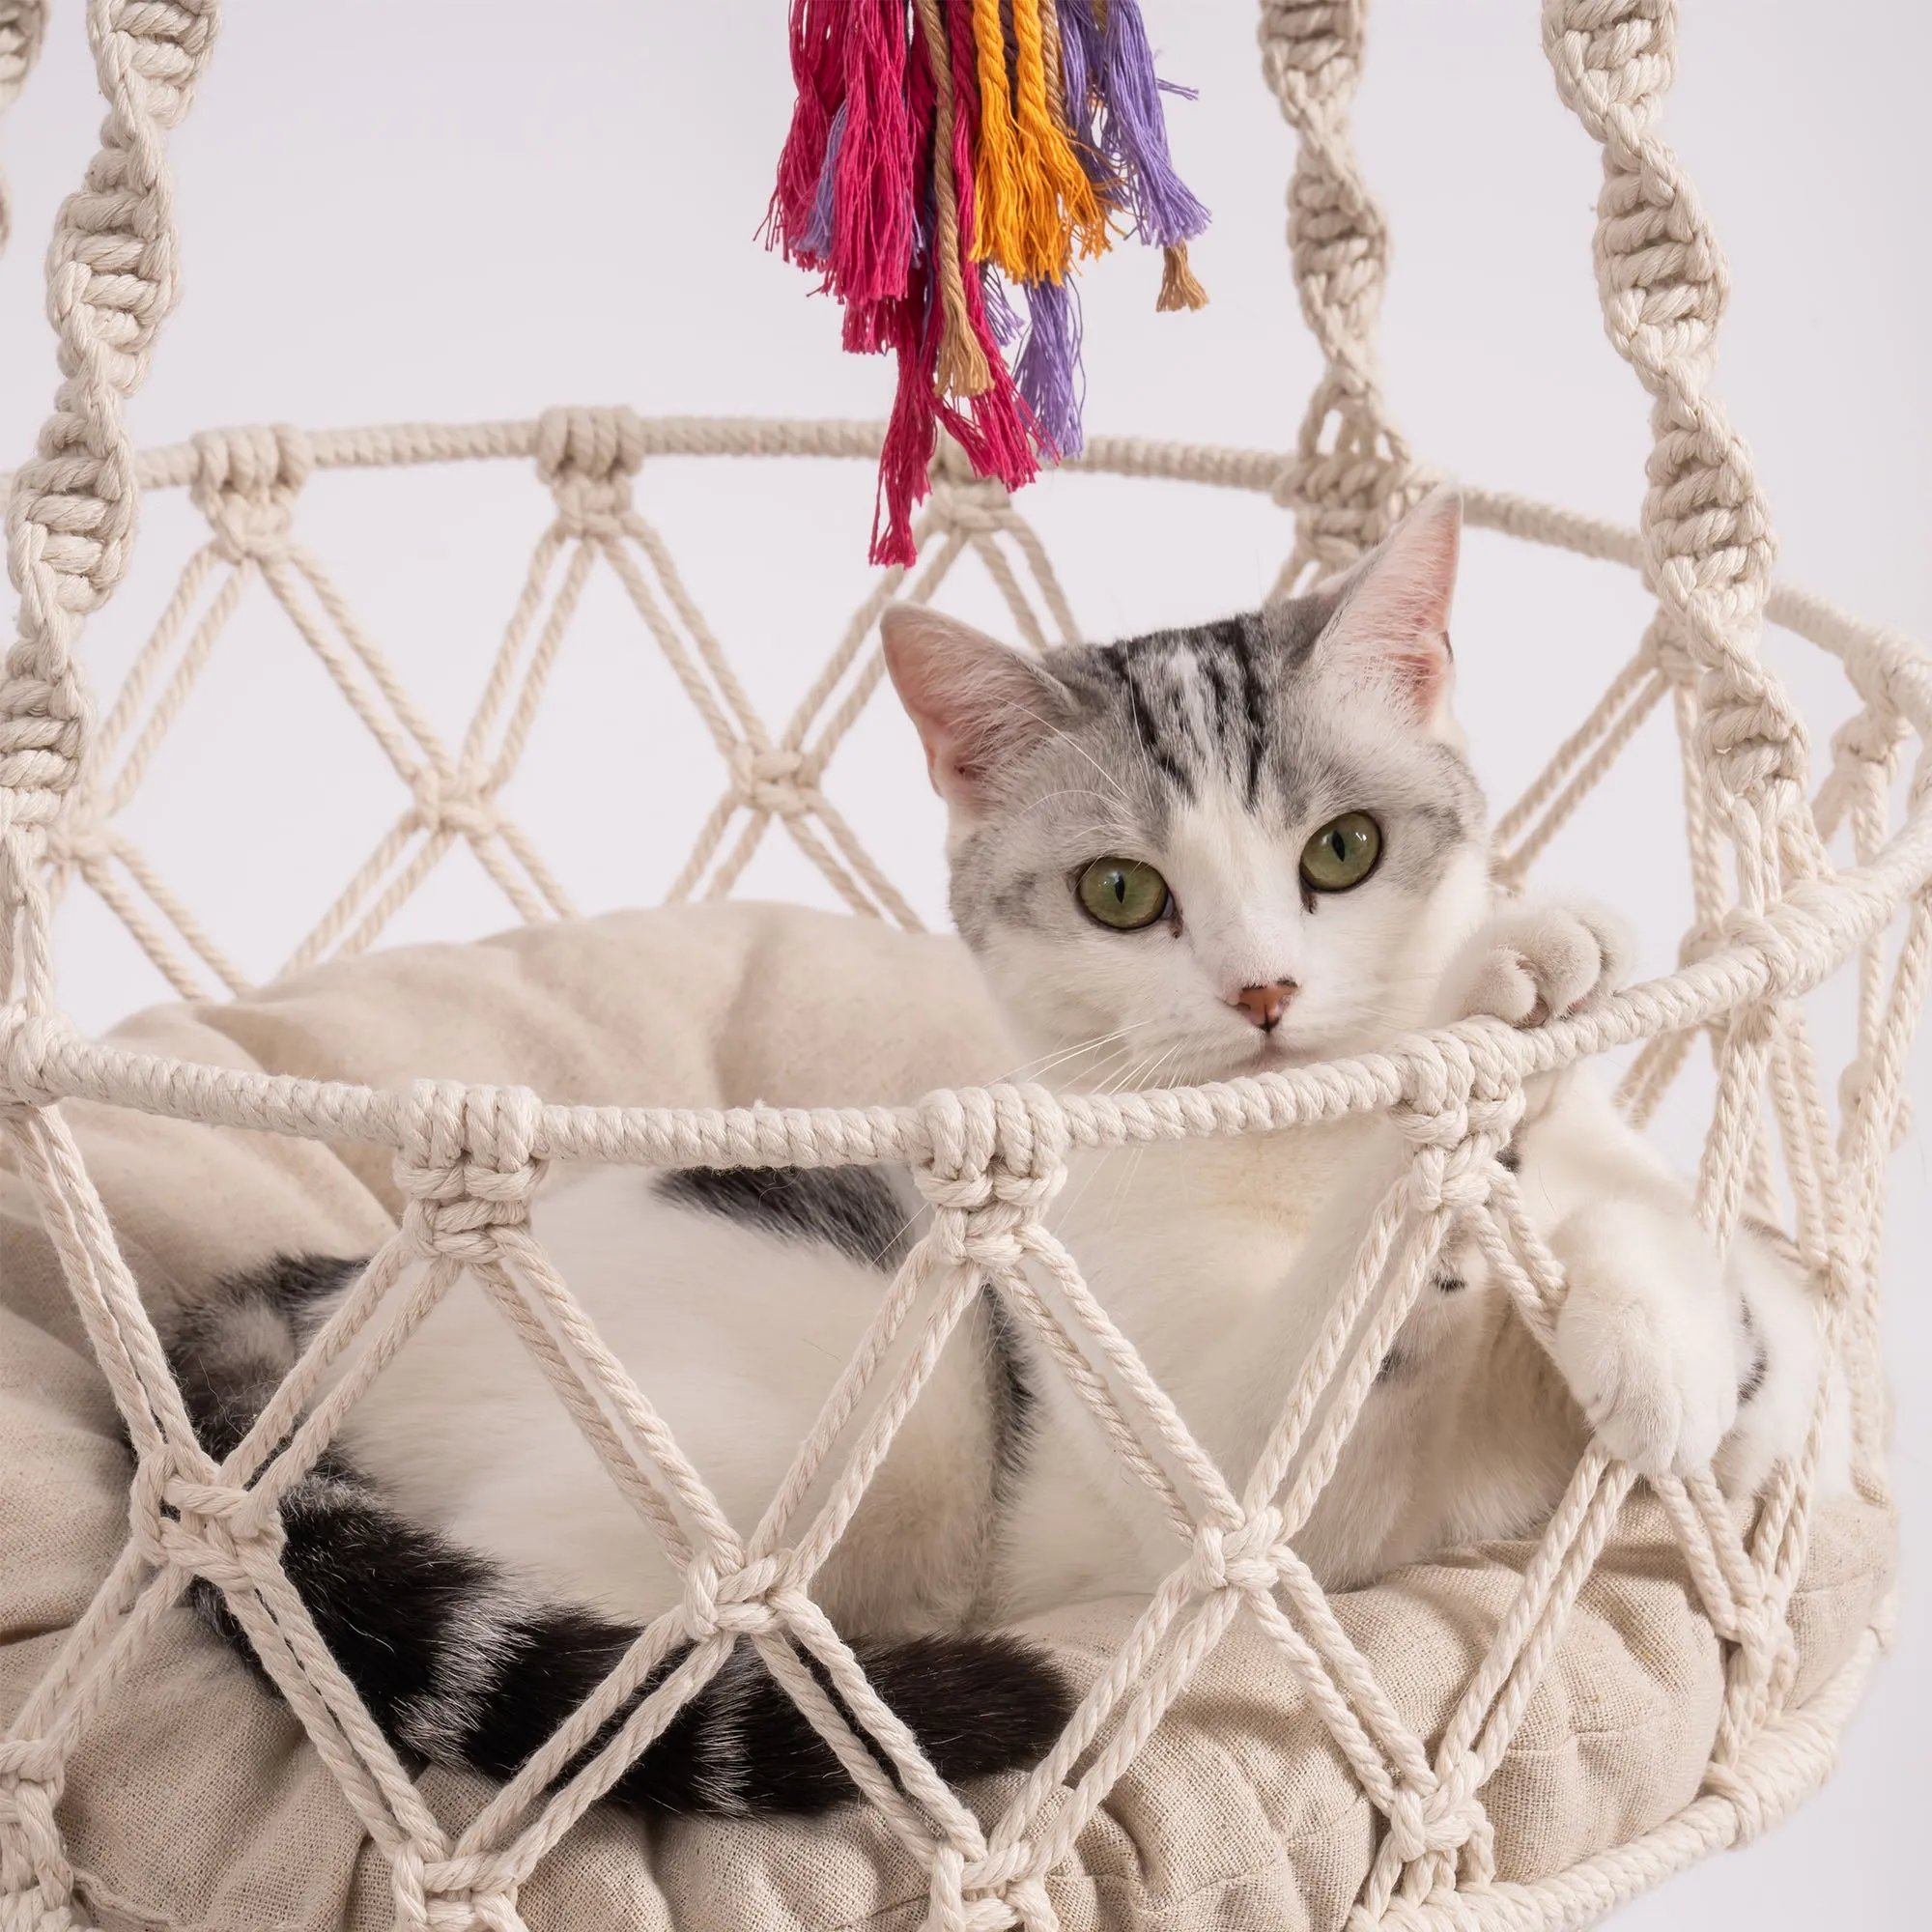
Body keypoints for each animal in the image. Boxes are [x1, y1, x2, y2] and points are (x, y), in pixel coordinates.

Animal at [162, 491, 1839, 1816]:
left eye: (1344, 851)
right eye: (1122, 893)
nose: (1265, 993)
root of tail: (321, 1290)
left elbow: (1730, 1320)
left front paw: (1653, 1325)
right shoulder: (1218, 1496)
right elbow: (1313, 1364)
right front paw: (1495, 1014)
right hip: (842, 1437)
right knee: (622, 1675)